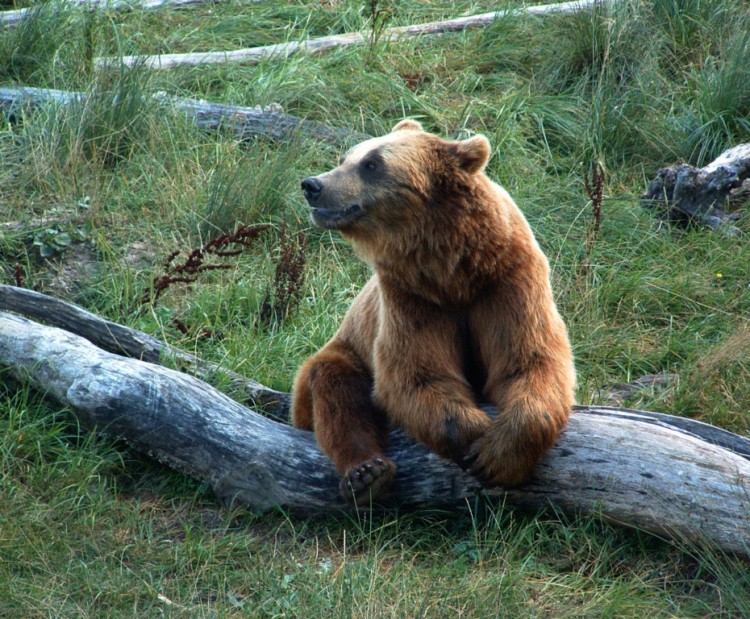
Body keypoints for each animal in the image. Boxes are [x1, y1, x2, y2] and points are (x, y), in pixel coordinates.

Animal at [292, 120, 576, 504]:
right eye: (345, 158)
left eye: (372, 163)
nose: (313, 185)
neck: (453, 271)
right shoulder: (412, 299)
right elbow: (417, 375)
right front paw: (474, 437)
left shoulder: (508, 284)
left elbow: (530, 360)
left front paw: (498, 455)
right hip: (344, 352)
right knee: (334, 386)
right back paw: (368, 472)